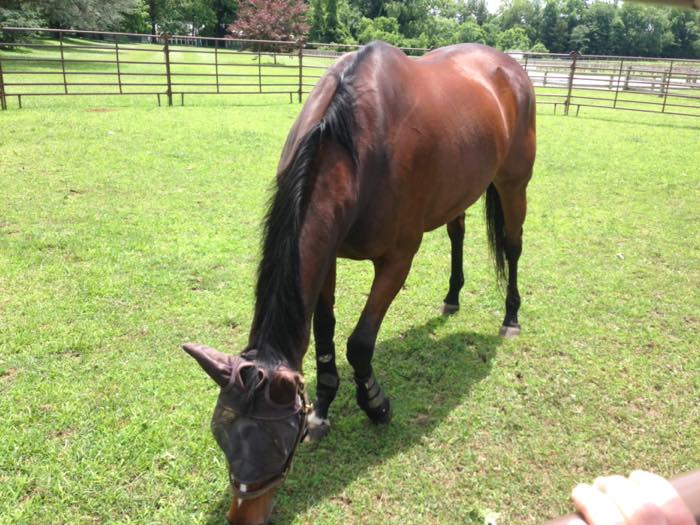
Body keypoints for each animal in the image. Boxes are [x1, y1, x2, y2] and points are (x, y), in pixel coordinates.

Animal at [183, 40, 536, 525]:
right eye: (221, 435)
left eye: (276, 443)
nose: (242, 518)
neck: (352, 141)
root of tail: (508, 66)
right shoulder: (327, 256)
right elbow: (325, 334)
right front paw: (323, 409)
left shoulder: (397, 259)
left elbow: (359, 342)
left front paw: (375, 404)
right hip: (461, 190)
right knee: (457, 233)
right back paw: (451, 297)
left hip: (513, 184)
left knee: (515, 248)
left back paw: (511, 317)